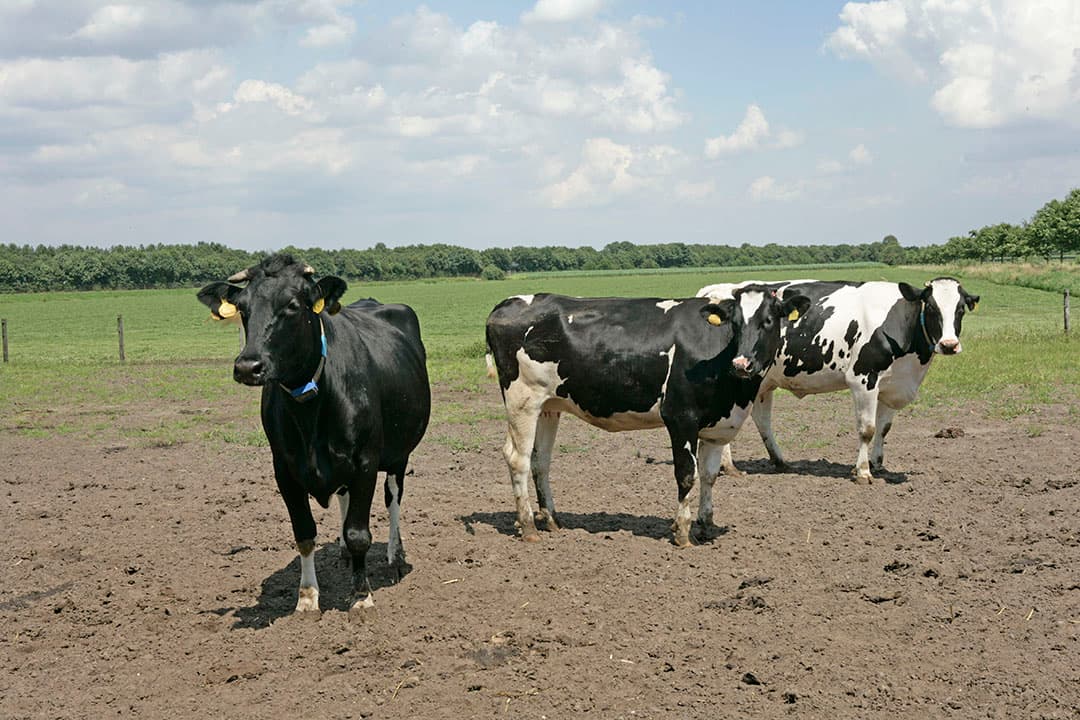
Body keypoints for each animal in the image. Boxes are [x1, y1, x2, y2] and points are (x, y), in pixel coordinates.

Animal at [197, 254, 430, 613]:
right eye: (242, 307)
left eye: (293, 305)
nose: (248, 367)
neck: (311, 409)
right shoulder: (284, 468)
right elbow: (304, 533)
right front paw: (307, 597)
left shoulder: (365, 461)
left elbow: (360, 533)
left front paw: (361, 596)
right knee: (345, 499)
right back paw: (344, 553)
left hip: (399, 454)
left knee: (393, 497)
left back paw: (395, 556)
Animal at [485, 288, 810, 547]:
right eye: (735, 323)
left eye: (768, 321)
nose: (742, 363)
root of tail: (508, 303)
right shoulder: (680, 418)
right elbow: (686, 474)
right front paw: (682, 533)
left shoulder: (716, 426)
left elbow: (709, 475)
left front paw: (706, 525)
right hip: (522, 400)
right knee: (517, 458)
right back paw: (528, 526)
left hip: (548, 405)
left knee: (540, 460)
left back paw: (552, 520)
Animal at [696, 277, 979, 483]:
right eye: (931, 307)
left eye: (961, 309)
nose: (949, 344)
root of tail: (717, 289)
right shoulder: (863, 379)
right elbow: (867, 429)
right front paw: (863, 472)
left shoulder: (892, 385)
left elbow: (884, 428)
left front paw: (877, 464)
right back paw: (729, 466)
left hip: (763, 380)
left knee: (762, 419)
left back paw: (778, 461)